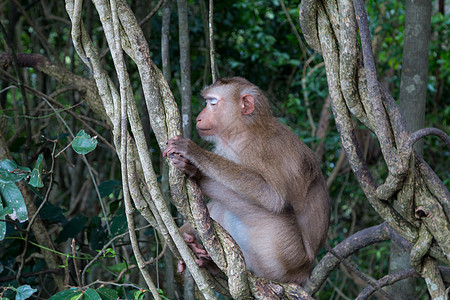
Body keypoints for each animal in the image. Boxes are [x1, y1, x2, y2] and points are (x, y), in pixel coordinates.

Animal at [163, 77, 330, 284]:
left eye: (212, 103)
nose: (198, 118)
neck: (242, 130)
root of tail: (306, 271)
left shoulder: (262, 150)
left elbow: (273, 197)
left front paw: (194, 156)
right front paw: (194, 172)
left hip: (285, 253)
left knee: (272, 211)